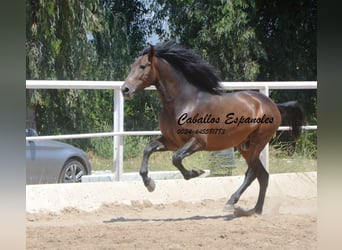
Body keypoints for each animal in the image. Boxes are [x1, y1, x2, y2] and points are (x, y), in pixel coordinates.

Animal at [121, 41, 304, 215]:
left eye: (143, 66)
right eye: (131, 66)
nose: (125, 90)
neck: (183, 102)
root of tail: (272, 105)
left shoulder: (198, 141)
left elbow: (176, 158)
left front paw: (196, 172)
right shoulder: (172, 141)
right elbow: (148, 149)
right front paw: (149, 184)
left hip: (258, 142)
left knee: (251, 174)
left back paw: (231, 203)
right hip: (244, 146)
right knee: (263, 176)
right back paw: (256, 210)